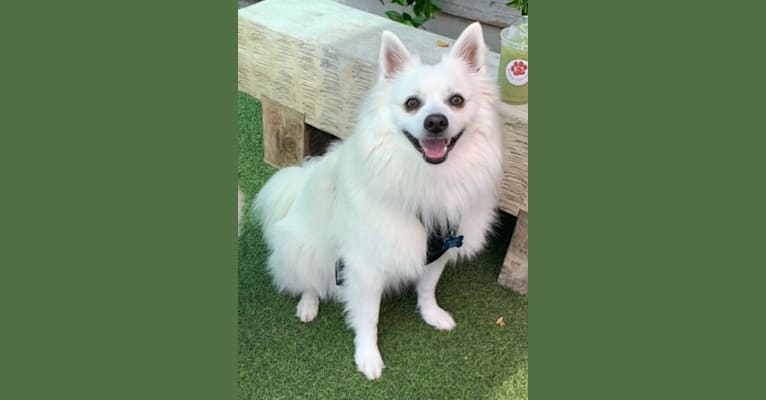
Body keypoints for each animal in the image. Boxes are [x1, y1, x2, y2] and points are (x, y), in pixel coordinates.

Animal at [254, 23, 504, 380]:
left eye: (456, 101)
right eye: (412, 103)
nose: (436, 121)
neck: (425, 179)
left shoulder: (440, 247)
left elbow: (428, 287)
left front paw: (432, 314)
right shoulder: (365, 266)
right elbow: (368, 317)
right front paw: (368, 356)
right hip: (305, 248)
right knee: (308, 280)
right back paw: (308, 305)